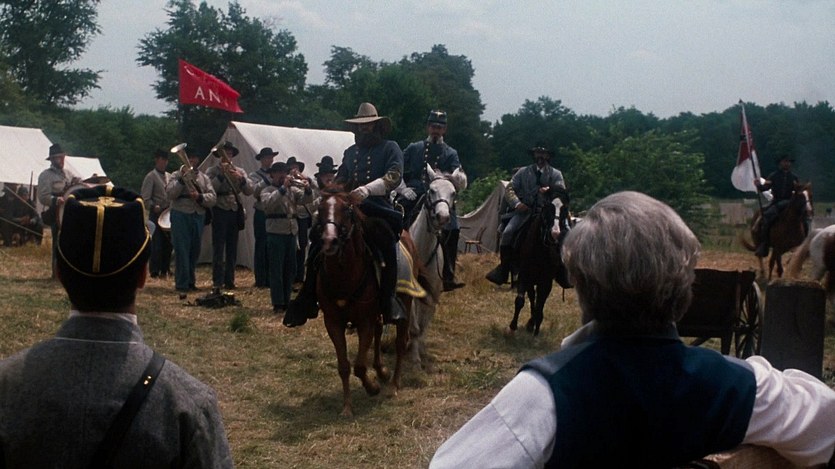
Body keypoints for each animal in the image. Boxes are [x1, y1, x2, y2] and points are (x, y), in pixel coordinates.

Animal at [316, 188, 422, 417]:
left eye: (347, 209)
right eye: (320, 209)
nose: (329, 241)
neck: (345, 276)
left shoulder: (364, 320)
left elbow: (359, 366)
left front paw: (372, 387)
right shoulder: (333, 323)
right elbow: (344, 366)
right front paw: (347, 407)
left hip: (405, 302)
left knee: (401, 343)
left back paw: (393, 385)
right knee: (379, 331)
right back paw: (381, 370)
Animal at [406, 165, 464, 367]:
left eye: (453, 193)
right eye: (431, 190)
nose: (443, 217)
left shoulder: (433, 291)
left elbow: (424, 323)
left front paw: (420, 351)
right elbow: (414, 326)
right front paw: (414, 358)